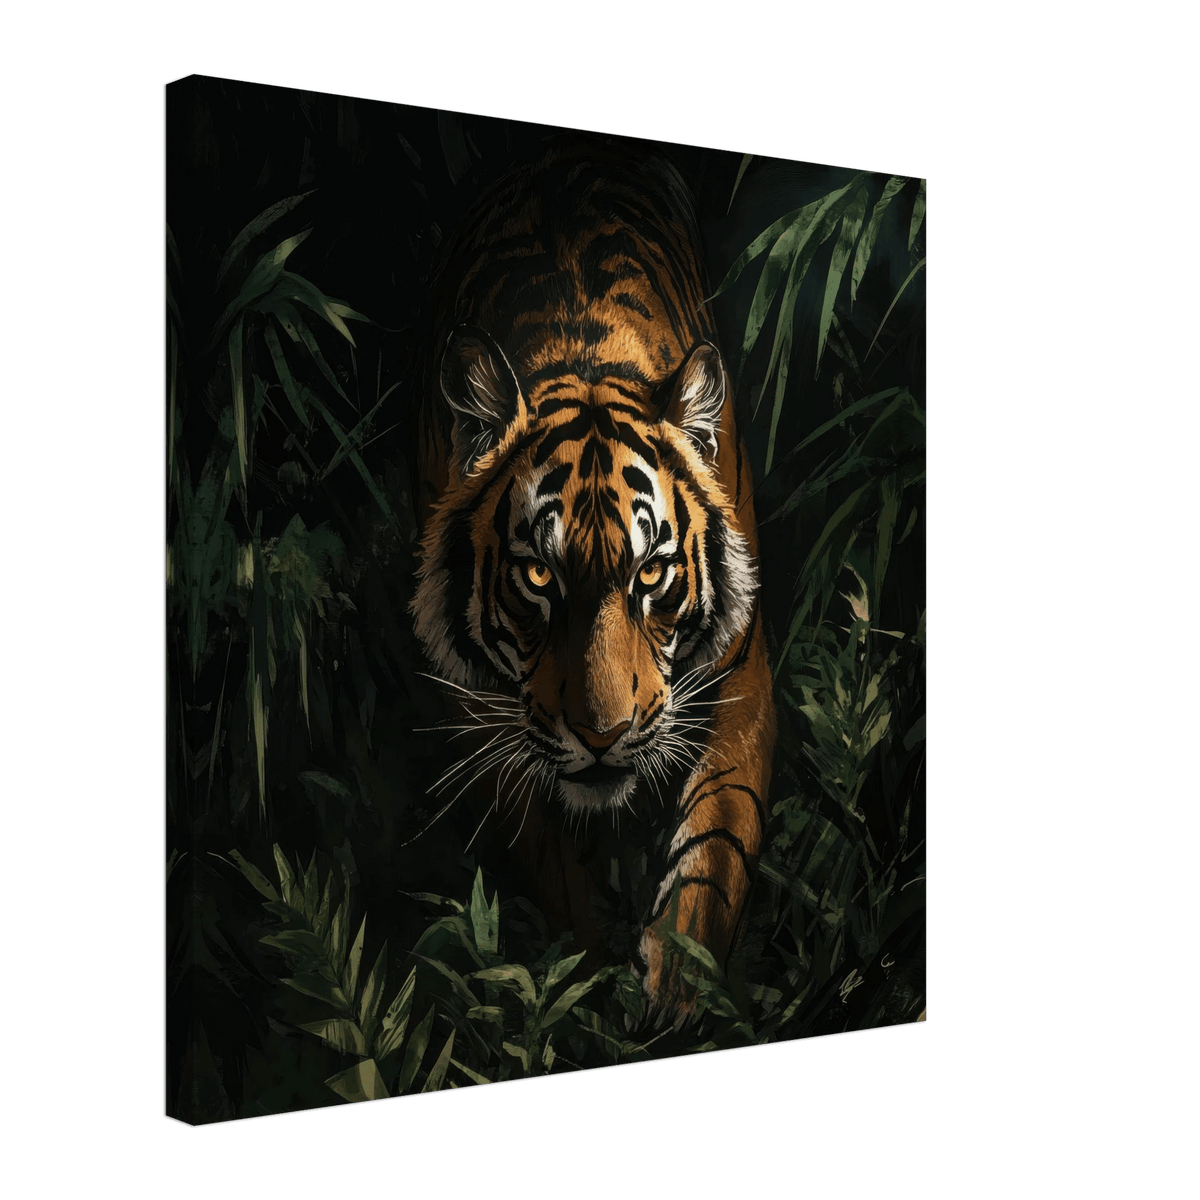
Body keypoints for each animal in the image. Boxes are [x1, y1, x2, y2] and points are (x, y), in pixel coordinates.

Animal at [409, 138, 776, 1020]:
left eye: (653, 572)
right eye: (539, 575)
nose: (603, 737)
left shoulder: (741, 682)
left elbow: (716, 850)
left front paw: (677, 984)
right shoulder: (483, 712)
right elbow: (555, 868)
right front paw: (588, 980)